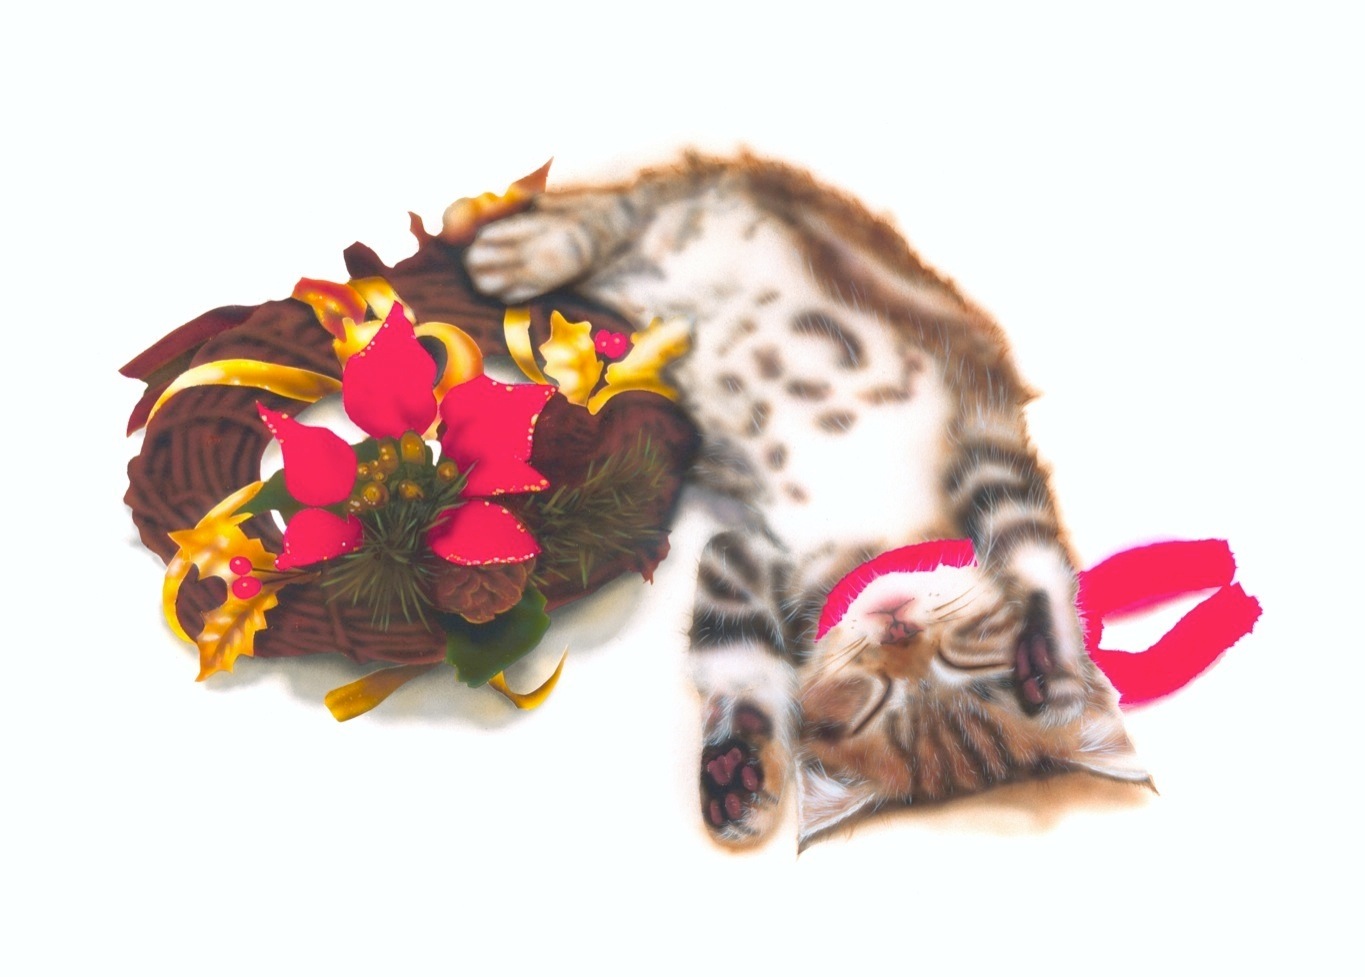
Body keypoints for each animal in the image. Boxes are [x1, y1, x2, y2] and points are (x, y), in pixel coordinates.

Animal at [460, 153, 1150, 847]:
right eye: (876, 696)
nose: (897, 625)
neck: (872, 551)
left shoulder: (745, 551)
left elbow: (734, 651)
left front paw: (739, 770)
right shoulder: (985, 428)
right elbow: (1034, 547)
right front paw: (1057, 667)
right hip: (733, 205)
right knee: (619, 209)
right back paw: (520, 250)